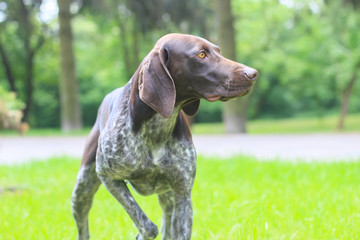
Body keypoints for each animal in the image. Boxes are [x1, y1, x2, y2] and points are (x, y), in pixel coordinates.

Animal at [71, 32, 256, 239]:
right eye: (201, 54)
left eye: (219, 51)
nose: (253, 73)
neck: (157, 127)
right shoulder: (107, 176)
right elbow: (147, 225)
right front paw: (141, 234)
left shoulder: (183, 195)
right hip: (82, 190)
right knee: (83, 224)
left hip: (167, 195)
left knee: (167, 218)